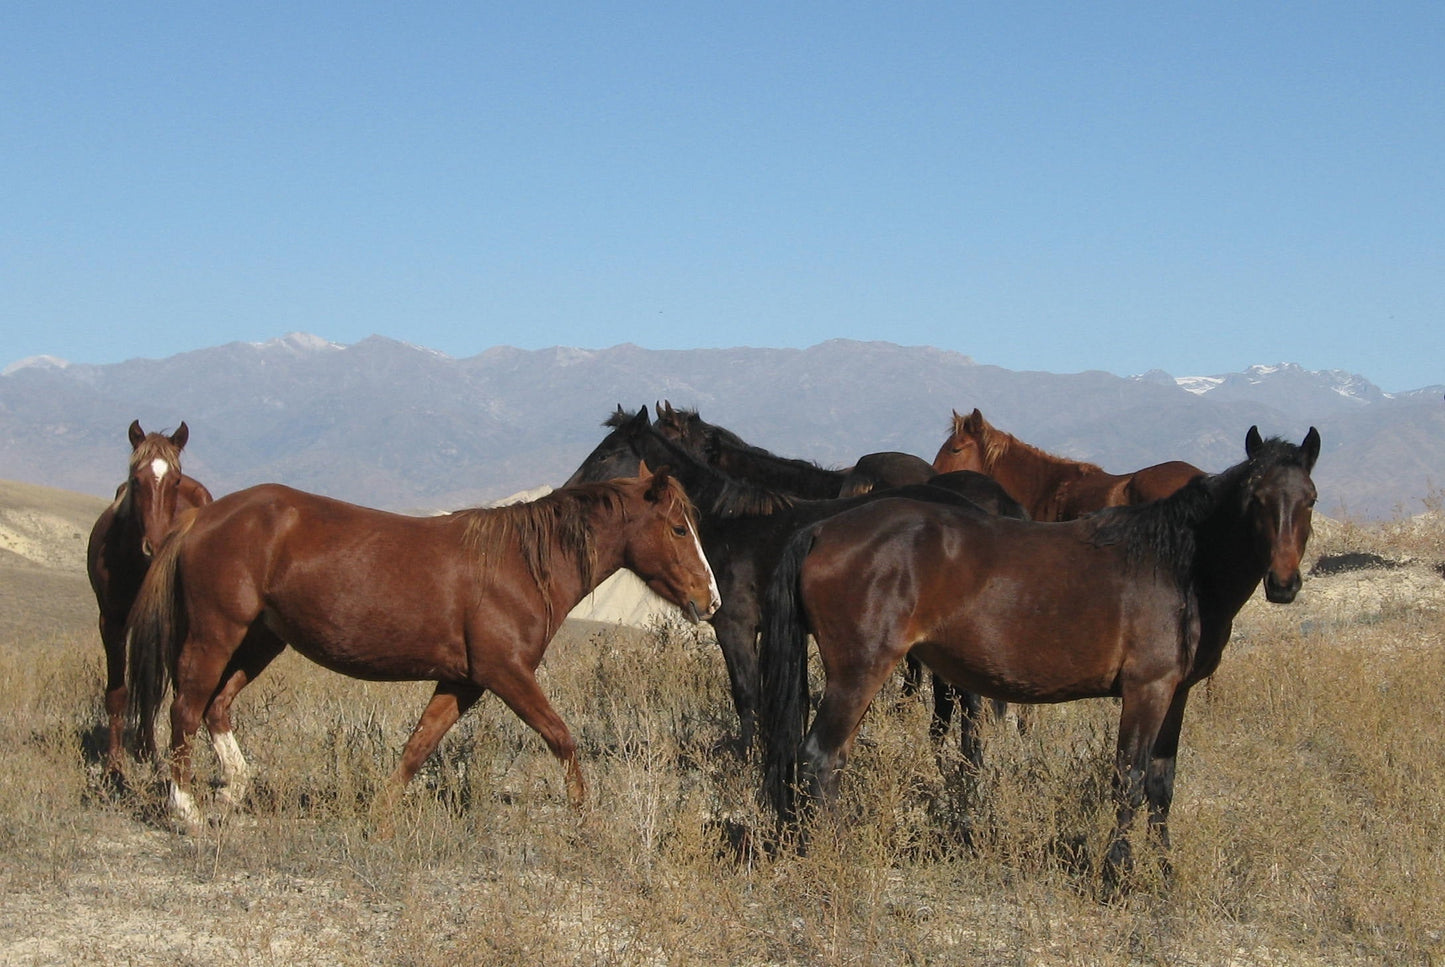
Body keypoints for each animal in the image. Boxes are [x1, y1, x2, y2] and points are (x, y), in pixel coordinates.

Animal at [85, 420, 212, 776]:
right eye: (135, 480)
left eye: (175, 481)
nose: (154, 546)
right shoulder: (111, 622)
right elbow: (118, 691)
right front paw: (114, 766)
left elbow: (154, 687)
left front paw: (154, 755)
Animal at [126, 467, 719, 833]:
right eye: (678, 528)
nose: (708, 600)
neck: (521, 565)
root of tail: (201, 518)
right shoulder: (506, 673)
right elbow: (562, 738)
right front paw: (584, 819)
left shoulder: (464, 681)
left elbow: (418, 746)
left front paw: (379, 814)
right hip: (217, 632)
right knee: (186, 709)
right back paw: (186, 810)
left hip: (261, 639)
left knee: (217, 707)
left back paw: (232, 790)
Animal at [761, 426, 1320, 885]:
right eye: (1255, 498)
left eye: (1309, 499)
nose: (1283, 584)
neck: (1176, 565)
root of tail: (822, 531)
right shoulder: (1146, 691)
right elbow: (1130, 781)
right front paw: (1117, 874)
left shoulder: (1174, 695)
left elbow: (1162, 786)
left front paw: (1164, 871)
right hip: (859, 674)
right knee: (819, 758)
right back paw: (835, 855)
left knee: (834, 761)